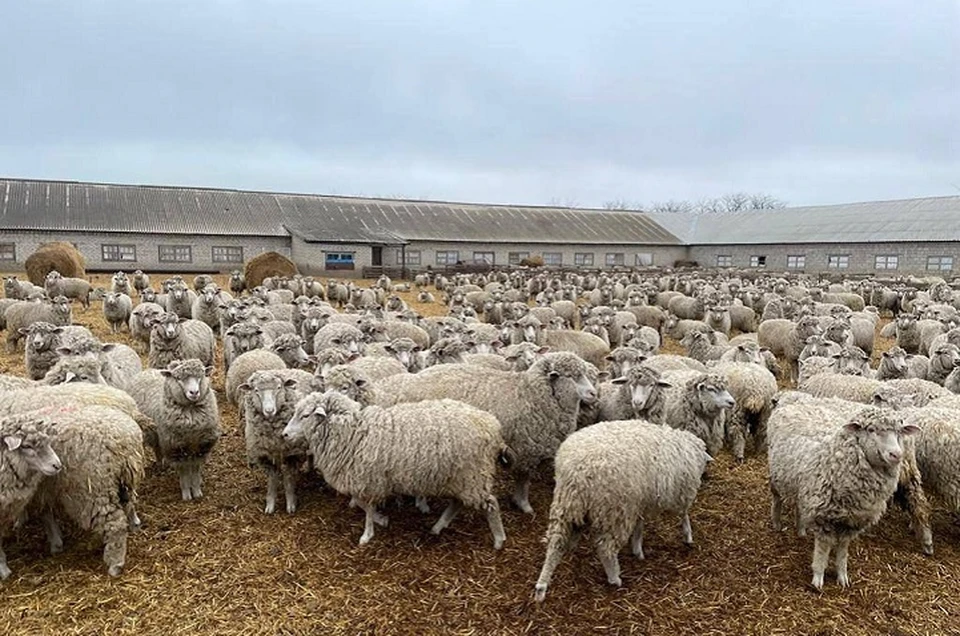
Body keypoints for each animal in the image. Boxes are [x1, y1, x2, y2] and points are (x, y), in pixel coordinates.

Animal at [127, 358, 221, 502]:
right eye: (178, 378)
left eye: (201, 376)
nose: (194, 393)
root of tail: (148, 370)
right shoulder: (176, 448)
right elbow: (184, 473)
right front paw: (187, 494)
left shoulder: (201, 446)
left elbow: (195, 470)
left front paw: (197, 491)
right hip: (155, 434)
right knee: (157, 449)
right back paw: (161, 464)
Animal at [282, 392, 510, 548]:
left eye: (305, 415)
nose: (284, 434)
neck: (353, 433)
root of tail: (493, 426)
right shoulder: (367, 481)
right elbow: (361, 505)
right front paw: (380, 520)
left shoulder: (368, 480)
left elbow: (366, 507)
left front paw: (368, 533)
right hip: (461, 477)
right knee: (458, 502)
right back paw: (438, 526)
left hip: (473, 475)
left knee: (491, 504)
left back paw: (499, 540)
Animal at [374, 350, 592, 516]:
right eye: (572, 376)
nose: (593, 393)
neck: (530, 394)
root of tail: (411, 380)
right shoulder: (525, 449)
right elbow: (523, 480)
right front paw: (523, 504)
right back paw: (422, 504)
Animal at [768, 404, 920, 588]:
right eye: (871, 429)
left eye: (899, 432)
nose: (896, 454)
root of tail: (792, 405)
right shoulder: (823, 517)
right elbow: (822, 550)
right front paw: (817, 579)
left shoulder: (852, 521)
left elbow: (842, 551)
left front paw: (842, 577)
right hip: (776, 475)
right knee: (777, 499)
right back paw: (776, 523)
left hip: (803, 487)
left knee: (799, 505)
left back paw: (801, 530)